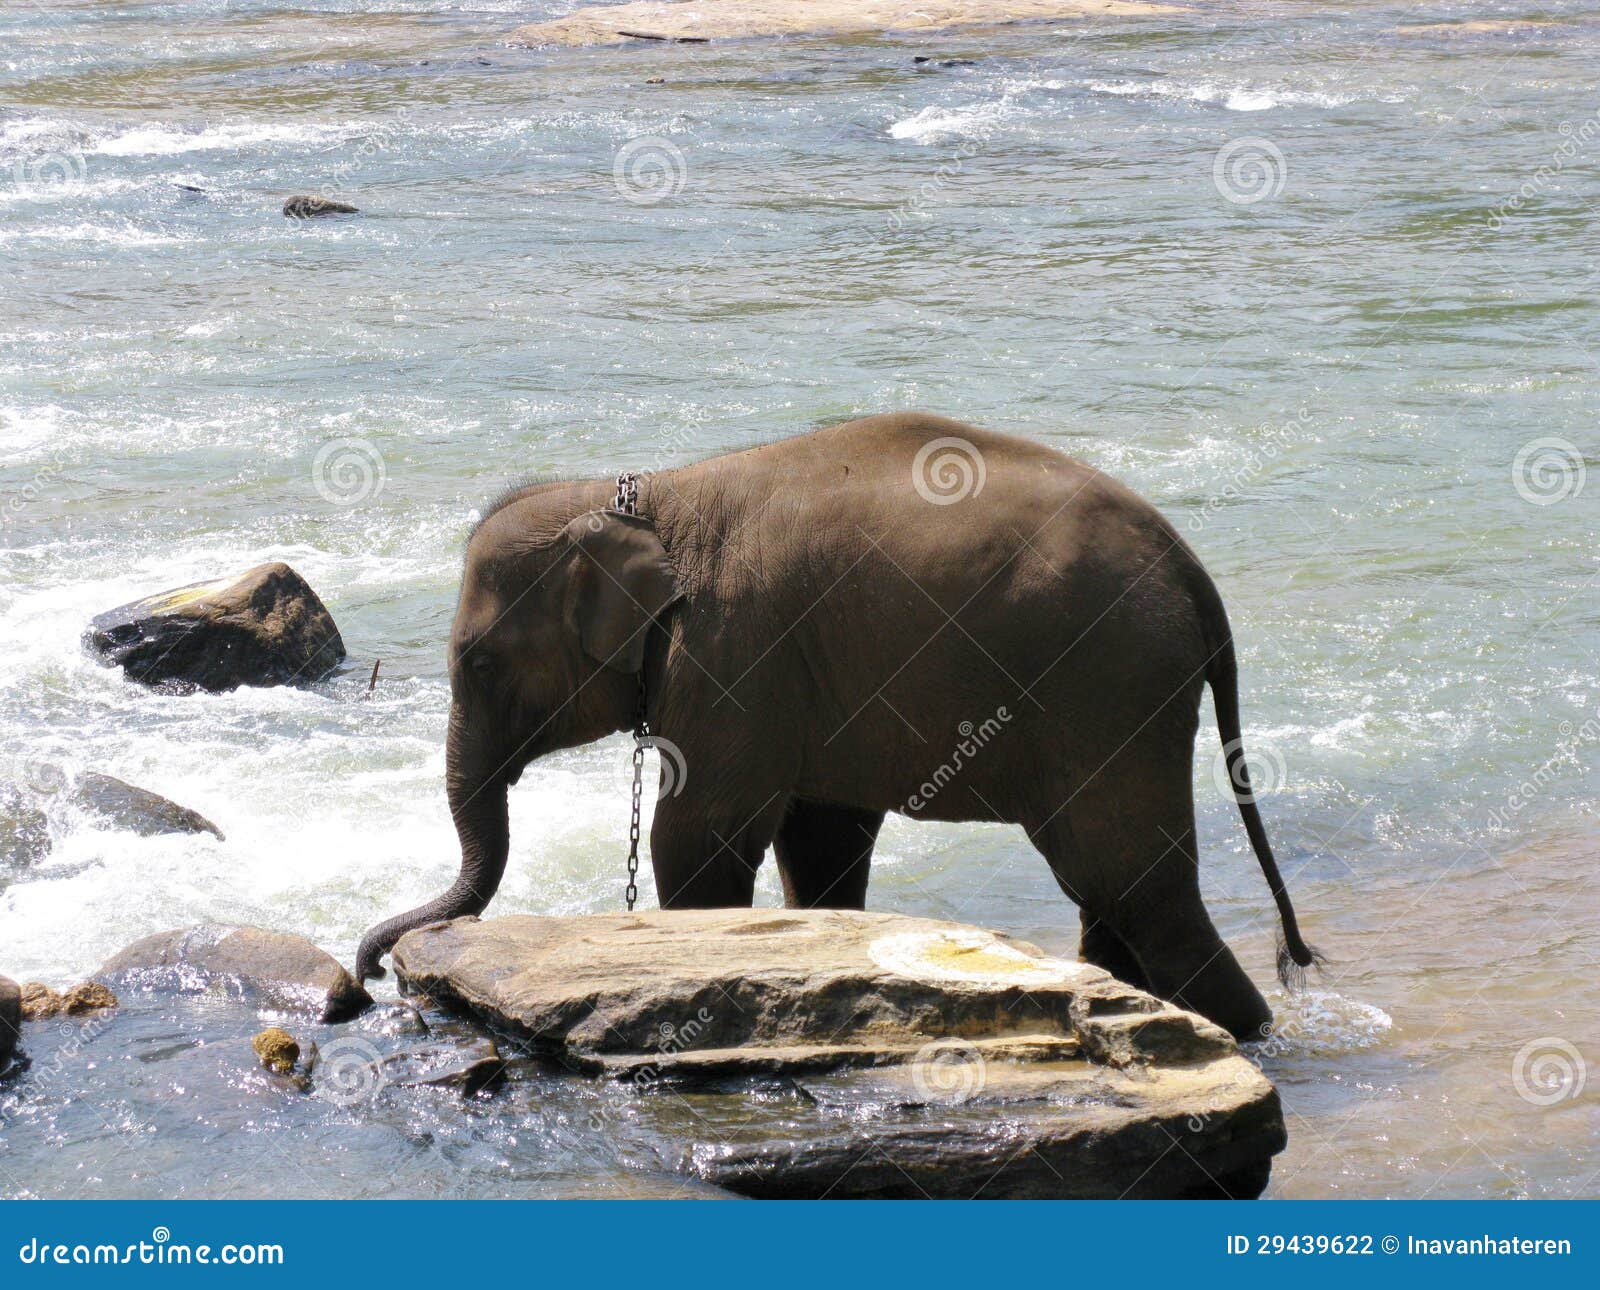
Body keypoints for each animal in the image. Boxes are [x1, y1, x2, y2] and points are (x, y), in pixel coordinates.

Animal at [356, 412, 1320, 1040]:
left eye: (480, 664)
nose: (370, 974)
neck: (642, 496)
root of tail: (1194, 572)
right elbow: (821, 839)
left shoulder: (731, 653)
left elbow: (697, 836)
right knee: (1108, 892)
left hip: (1108, 689)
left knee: (1133, 883)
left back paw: (1247, 1033)